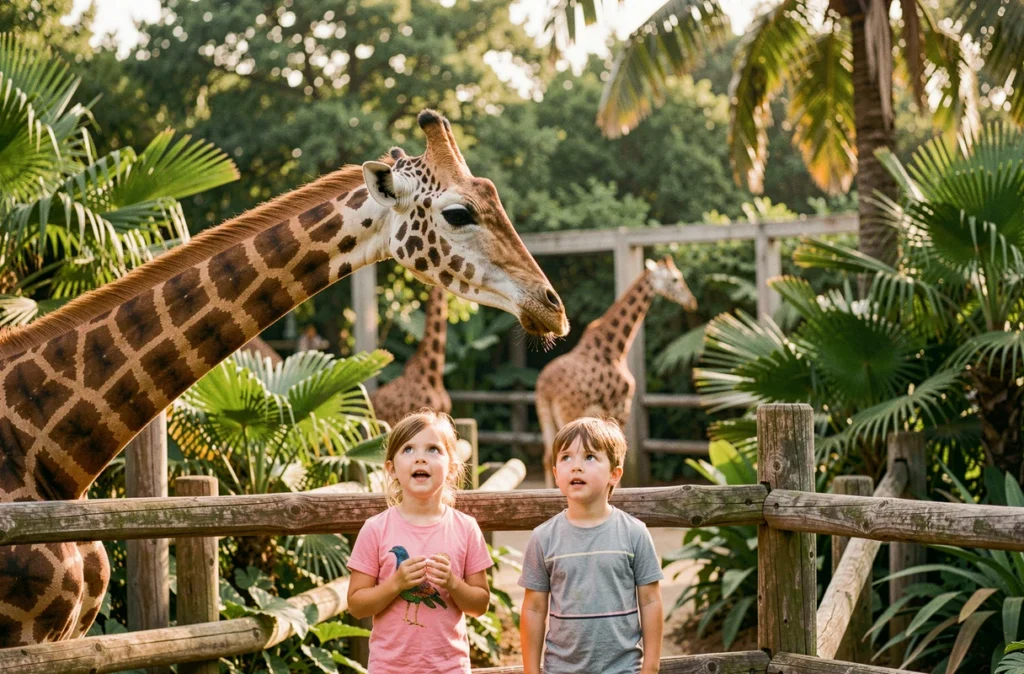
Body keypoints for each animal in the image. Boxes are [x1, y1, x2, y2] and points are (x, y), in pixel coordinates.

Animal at [535, 256, 696, 486]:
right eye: (675, 279)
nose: (692, 301)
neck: (616, 348)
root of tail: (545, 387)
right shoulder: (621, 407)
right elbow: (617, 453)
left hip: (544, 413)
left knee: (548, 457)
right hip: (568, 412)